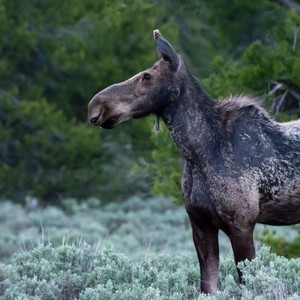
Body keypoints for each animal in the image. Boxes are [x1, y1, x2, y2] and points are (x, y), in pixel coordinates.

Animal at [88, 31, 300, 296]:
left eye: (147, 76)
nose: (96, 106)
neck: (199, 152)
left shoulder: (241, 223)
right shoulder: (200, 224)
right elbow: (207, 285)